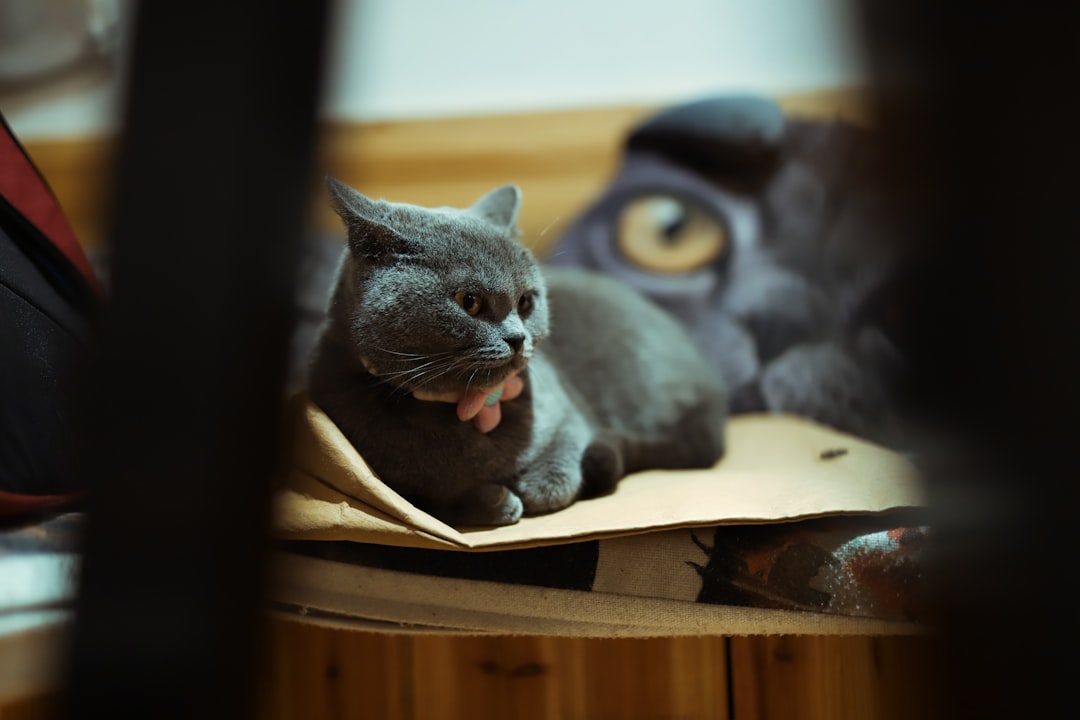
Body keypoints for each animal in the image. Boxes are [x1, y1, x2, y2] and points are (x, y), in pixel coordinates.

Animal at [306, 179, 725, 528]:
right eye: (469, 301)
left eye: (525, 301)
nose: (517, 338)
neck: (473, 410)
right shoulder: (394, 482)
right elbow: (433, 499)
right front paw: (496, 501)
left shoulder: (570, 415)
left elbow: (562, 463)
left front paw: (533, 489)